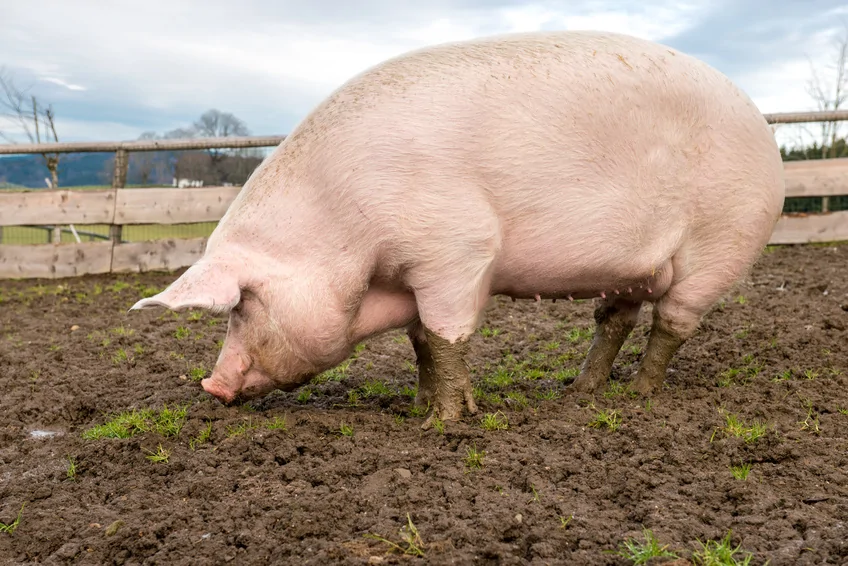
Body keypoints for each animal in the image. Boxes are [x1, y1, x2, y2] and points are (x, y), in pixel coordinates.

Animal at [131, 30, 785, 428]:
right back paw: (579, 393)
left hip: (724, 243)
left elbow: (448, 334)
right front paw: (421, 404)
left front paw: (442, 422)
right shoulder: (410, 274)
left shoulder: (457, 249)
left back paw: (638, 396)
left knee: (673, 322)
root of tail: (762, 123)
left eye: (242, 305)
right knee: (615, 318)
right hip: (632, 267)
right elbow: (422, 338)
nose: (210, 386)